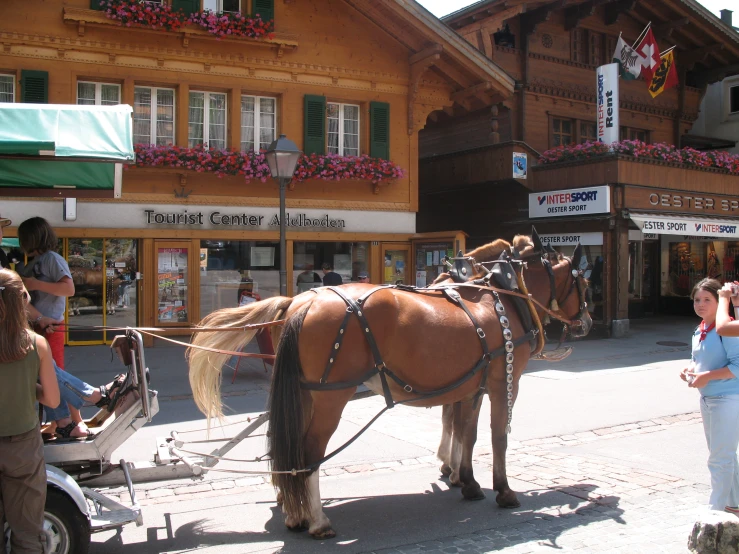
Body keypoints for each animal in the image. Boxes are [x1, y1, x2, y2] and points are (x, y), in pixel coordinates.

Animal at [188, 232, 592, 536]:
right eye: (583, 280)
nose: (587, 322)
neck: (503, 297)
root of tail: (302, 304)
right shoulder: (502, 381)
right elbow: (496, 436)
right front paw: (503, 490)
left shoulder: (471, 385)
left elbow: (466, 431)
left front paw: (465, 480)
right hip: (331, 397)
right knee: (310, 451)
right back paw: (317, 520)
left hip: (303, 395)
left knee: (289, 449)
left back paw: (295, 512)